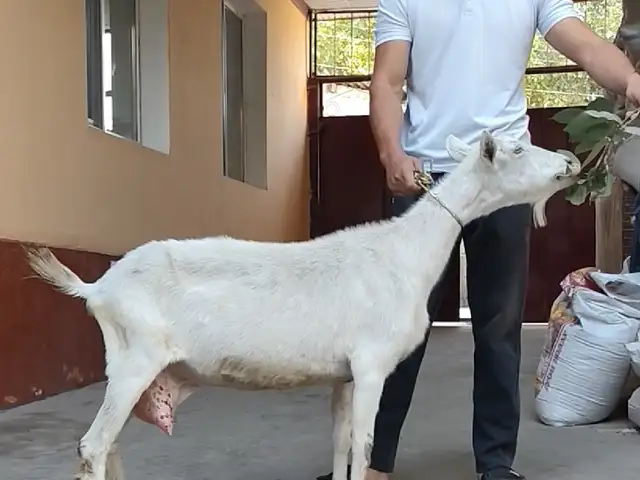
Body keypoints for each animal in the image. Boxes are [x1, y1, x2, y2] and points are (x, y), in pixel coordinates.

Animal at [25, 131, 580, 480]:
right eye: (516, 147)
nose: (571, 163)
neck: (405, 253)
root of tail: (97, 287)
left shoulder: (345, 373)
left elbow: (340, 443)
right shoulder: (372, 363)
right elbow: (365, 446)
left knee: (109, 445)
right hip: (135, 357)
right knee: (93, 446)